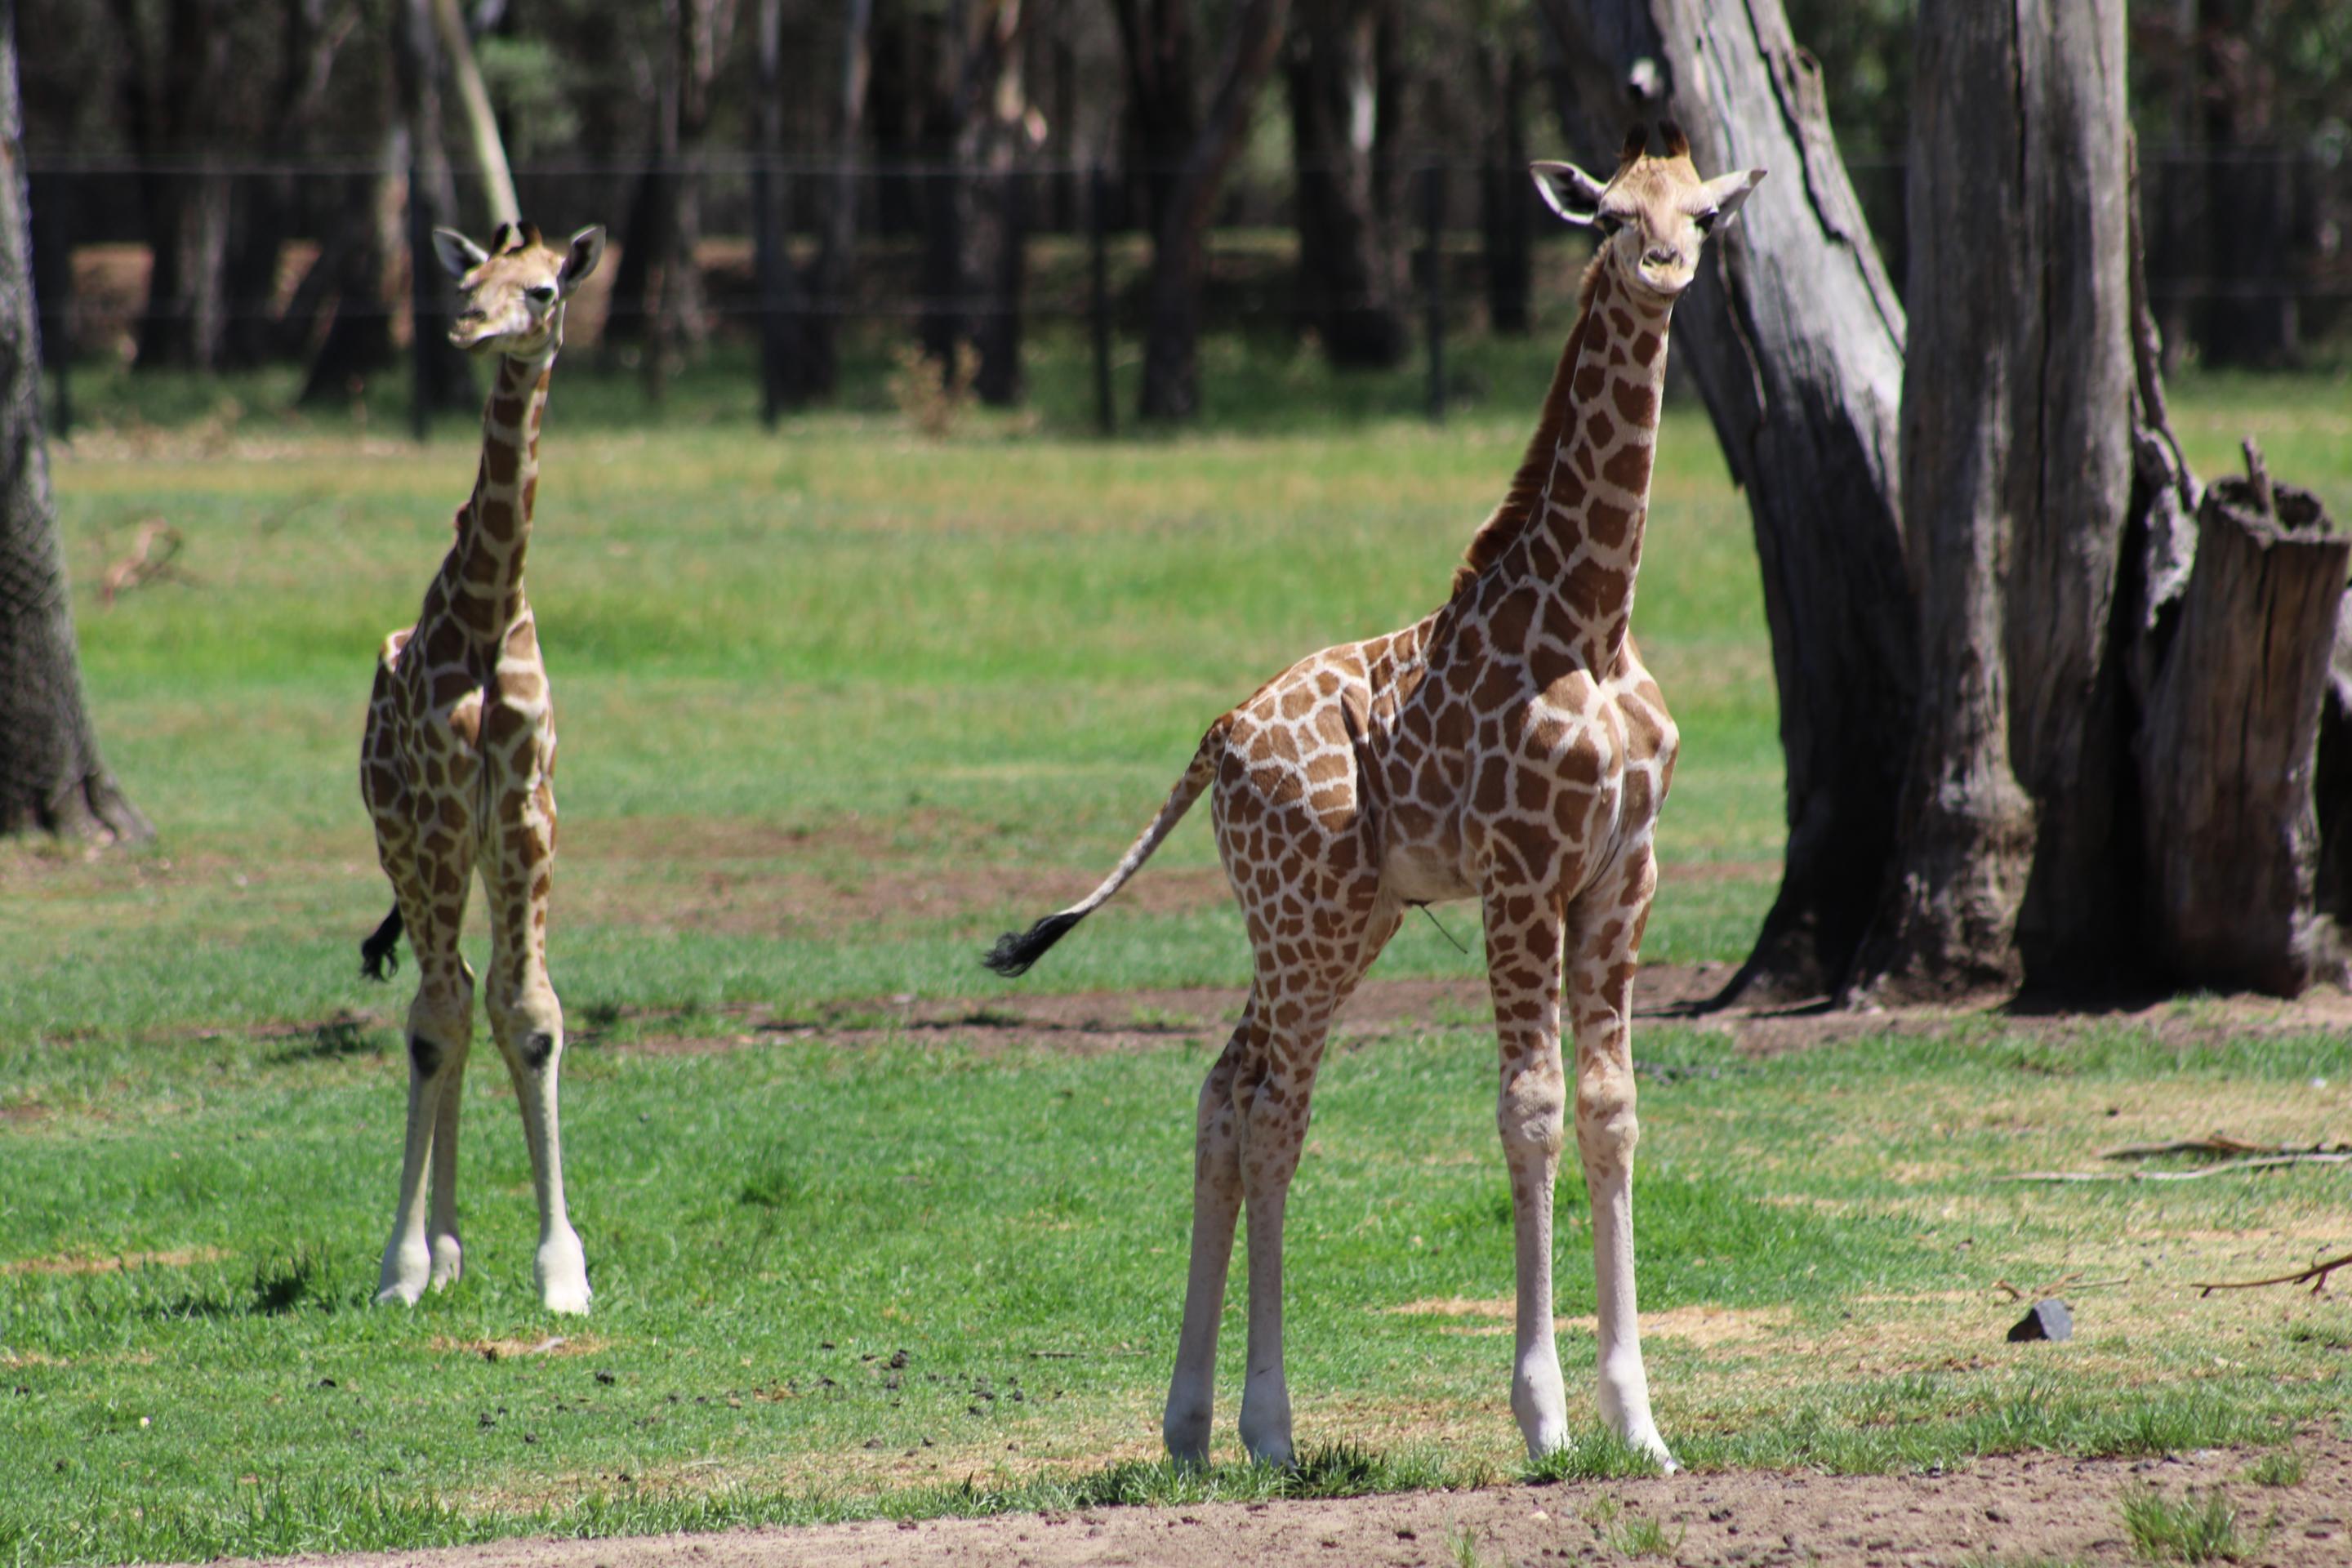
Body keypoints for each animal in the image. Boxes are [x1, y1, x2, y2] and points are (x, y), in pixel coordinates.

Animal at [978, 126, 1768, 1476]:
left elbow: (1611, 1114)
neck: (1593, 617)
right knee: (1272, 1110)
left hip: (1346, 917)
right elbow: (1530, 1113)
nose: (1665, 268)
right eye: (1613, 215)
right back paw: (1270, 1428)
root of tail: (1218, 736)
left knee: (1224, 1090)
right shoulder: (1521, 871)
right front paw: (1544, 1420)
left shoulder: (1625, 870)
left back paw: (1193, 1428)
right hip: (1307, 919)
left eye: (1702, 215)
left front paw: (1641, 1425)